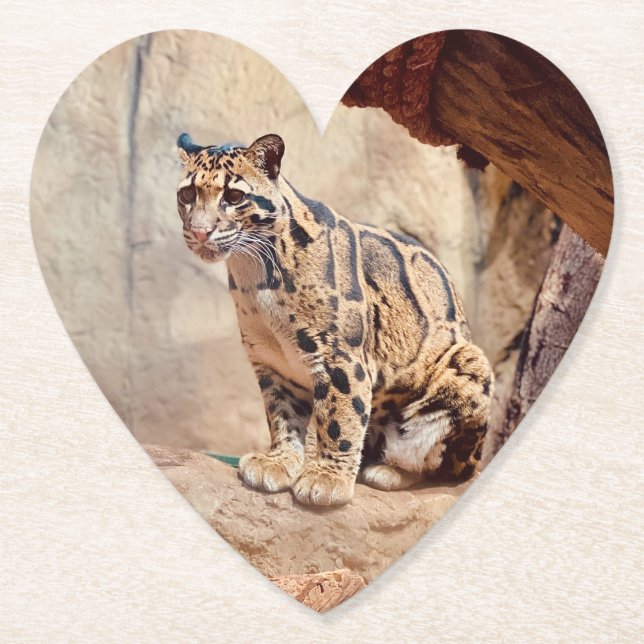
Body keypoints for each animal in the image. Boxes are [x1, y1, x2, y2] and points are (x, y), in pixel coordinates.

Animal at [176, 132, 493, 506]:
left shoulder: (339, 356)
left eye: (234, 196)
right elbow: (282, 416)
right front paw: (280, 462)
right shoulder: (272, 362)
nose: (199, 232)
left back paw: (387, 471)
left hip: (470, 365)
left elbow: (340, 418)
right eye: (187, 194)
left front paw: (326, 479)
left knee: (444, 467)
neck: (253, 272)